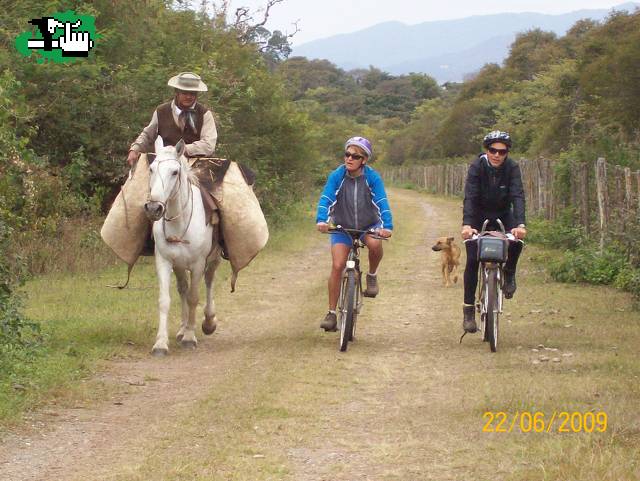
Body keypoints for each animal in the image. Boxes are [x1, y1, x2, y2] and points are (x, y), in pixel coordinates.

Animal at [144, 137, 221, 354]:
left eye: (174, 172)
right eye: (151, 169)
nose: (154, 208)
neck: (180, 222)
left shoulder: (198, 264)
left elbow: (194, 297)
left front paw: (189, 337)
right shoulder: (164, 261)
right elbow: (165, 300)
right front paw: (161, 343)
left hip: (213, 259)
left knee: (209, 281)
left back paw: (208, 322)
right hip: (179, 265)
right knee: (182, 289)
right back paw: (182, 328)